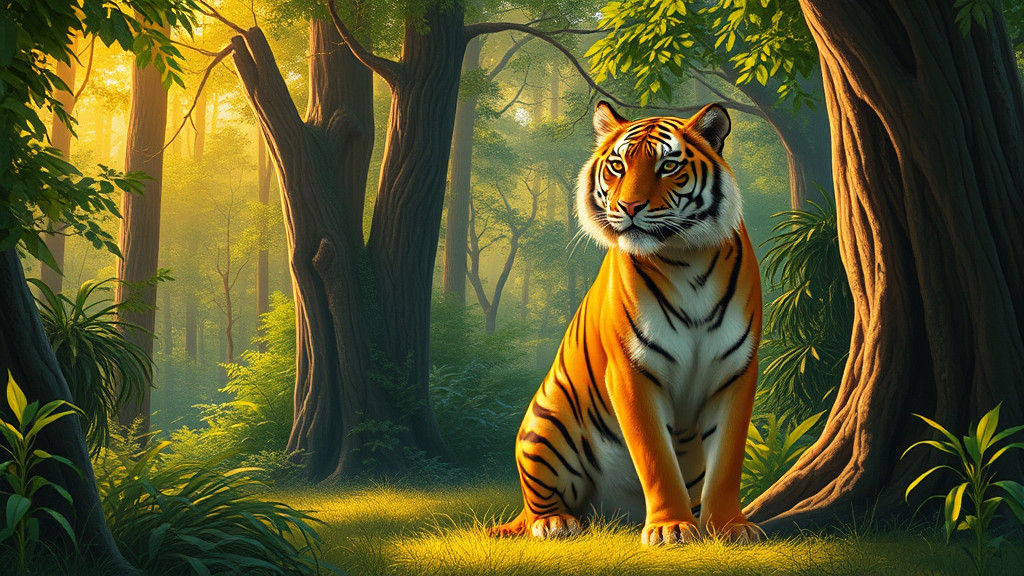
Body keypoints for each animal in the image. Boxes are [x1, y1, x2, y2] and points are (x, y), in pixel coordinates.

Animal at [488, 101, 762, 546]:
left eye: (668, 165)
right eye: (618, 165)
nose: (630, 207)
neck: (686, 261)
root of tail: (612, 515)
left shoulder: (736, 371)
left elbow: (727, 461)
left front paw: (730, 527)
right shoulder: (632, 371)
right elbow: (656, 457)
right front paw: (670, 528)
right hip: (545, 422)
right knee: (537, 508)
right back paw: (556, 523)